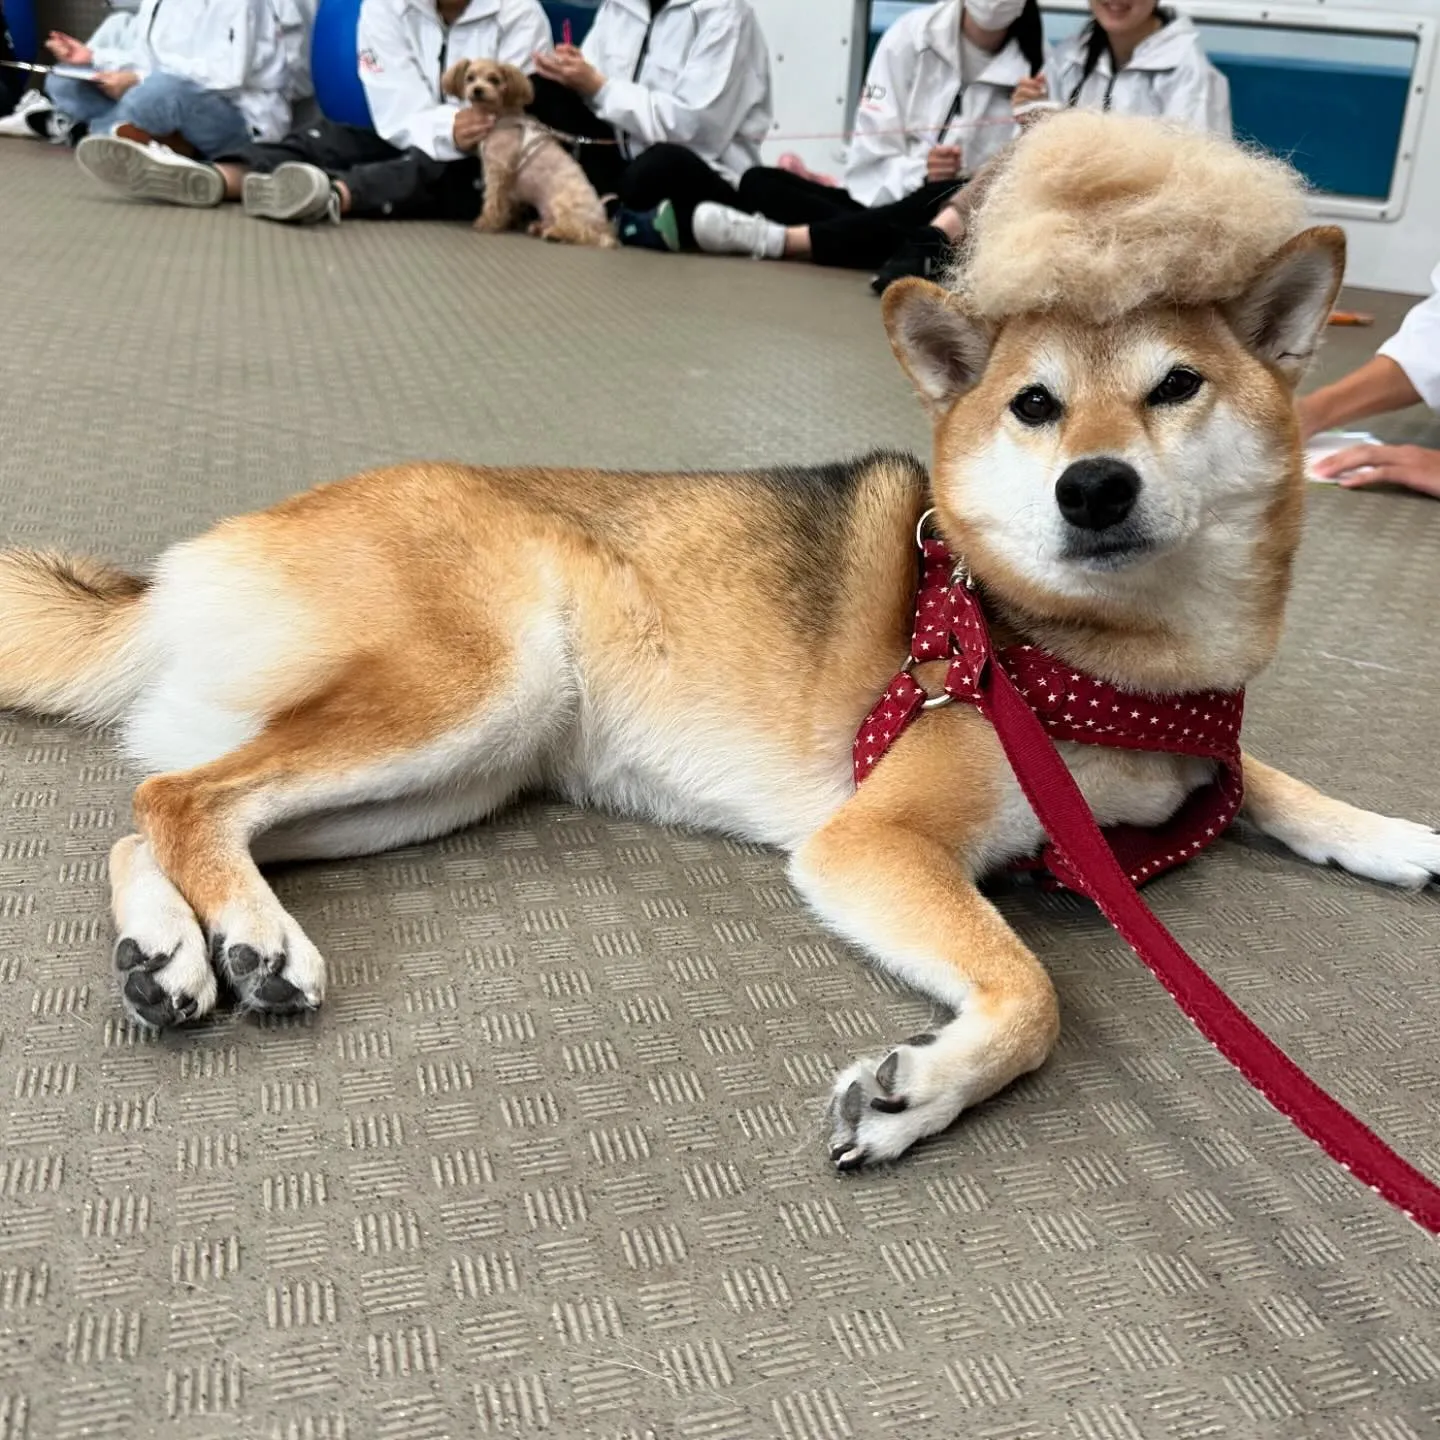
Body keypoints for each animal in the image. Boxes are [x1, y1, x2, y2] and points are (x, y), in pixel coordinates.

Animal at [2, 115, 1440, 1169]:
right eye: (1034, 407)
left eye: (1176, 388)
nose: (1093, 488)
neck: (1105, 661)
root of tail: (187, 564)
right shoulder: (875, 841)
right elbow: (1035, 993)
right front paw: (920, 1091)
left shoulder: (1193, 741)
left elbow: (1265, 779)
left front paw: (1392, 836)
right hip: (471, 697)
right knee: (182, 797)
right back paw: (246, 938)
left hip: (455, 776)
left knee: (162, 811)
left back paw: (175, 953)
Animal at [440, 59, 616, 249]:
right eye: (470, 78)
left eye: (494, 80)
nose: (477, 90)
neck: (500, 118)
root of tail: (604, 224)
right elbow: (506, 204)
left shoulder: (498, 171)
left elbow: (493, 200)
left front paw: (488, 222)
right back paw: (539, 227)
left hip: (563, 204)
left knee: (582, 232)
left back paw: (557, 234)